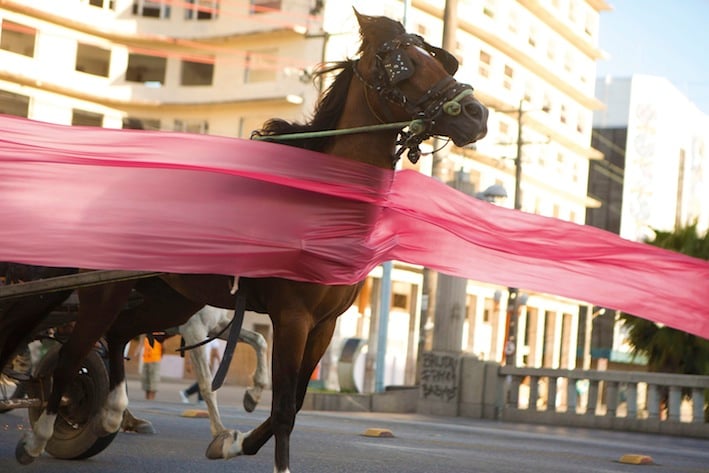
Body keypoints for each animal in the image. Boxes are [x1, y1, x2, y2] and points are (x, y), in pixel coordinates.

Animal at [12, 12, 486, 472]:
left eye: (439, 59)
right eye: (403, 63)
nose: (477, 113)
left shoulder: (326, 324)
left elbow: (293, 402)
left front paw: (233, 442)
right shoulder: (292, 317)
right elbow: (282, 408)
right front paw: (260, 453)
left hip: (169, 298)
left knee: (116, 334)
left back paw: (111, 412)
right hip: (106, 290)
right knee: (74, 352)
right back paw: (43, 431)